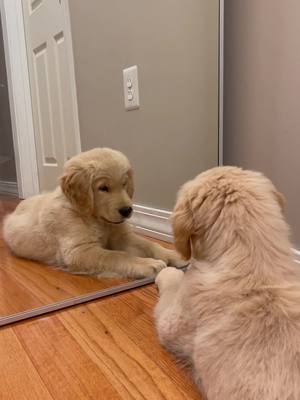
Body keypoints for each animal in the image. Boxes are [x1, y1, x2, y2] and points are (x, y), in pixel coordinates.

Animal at [2, 147, 182, 278]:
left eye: (124, 184)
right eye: (103, 188)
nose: (127, 210)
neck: (96, 219)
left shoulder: (121, 236)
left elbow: (149, 243)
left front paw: (172, 254)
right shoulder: (78, 250)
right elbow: (117, 255)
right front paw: (148, 264)